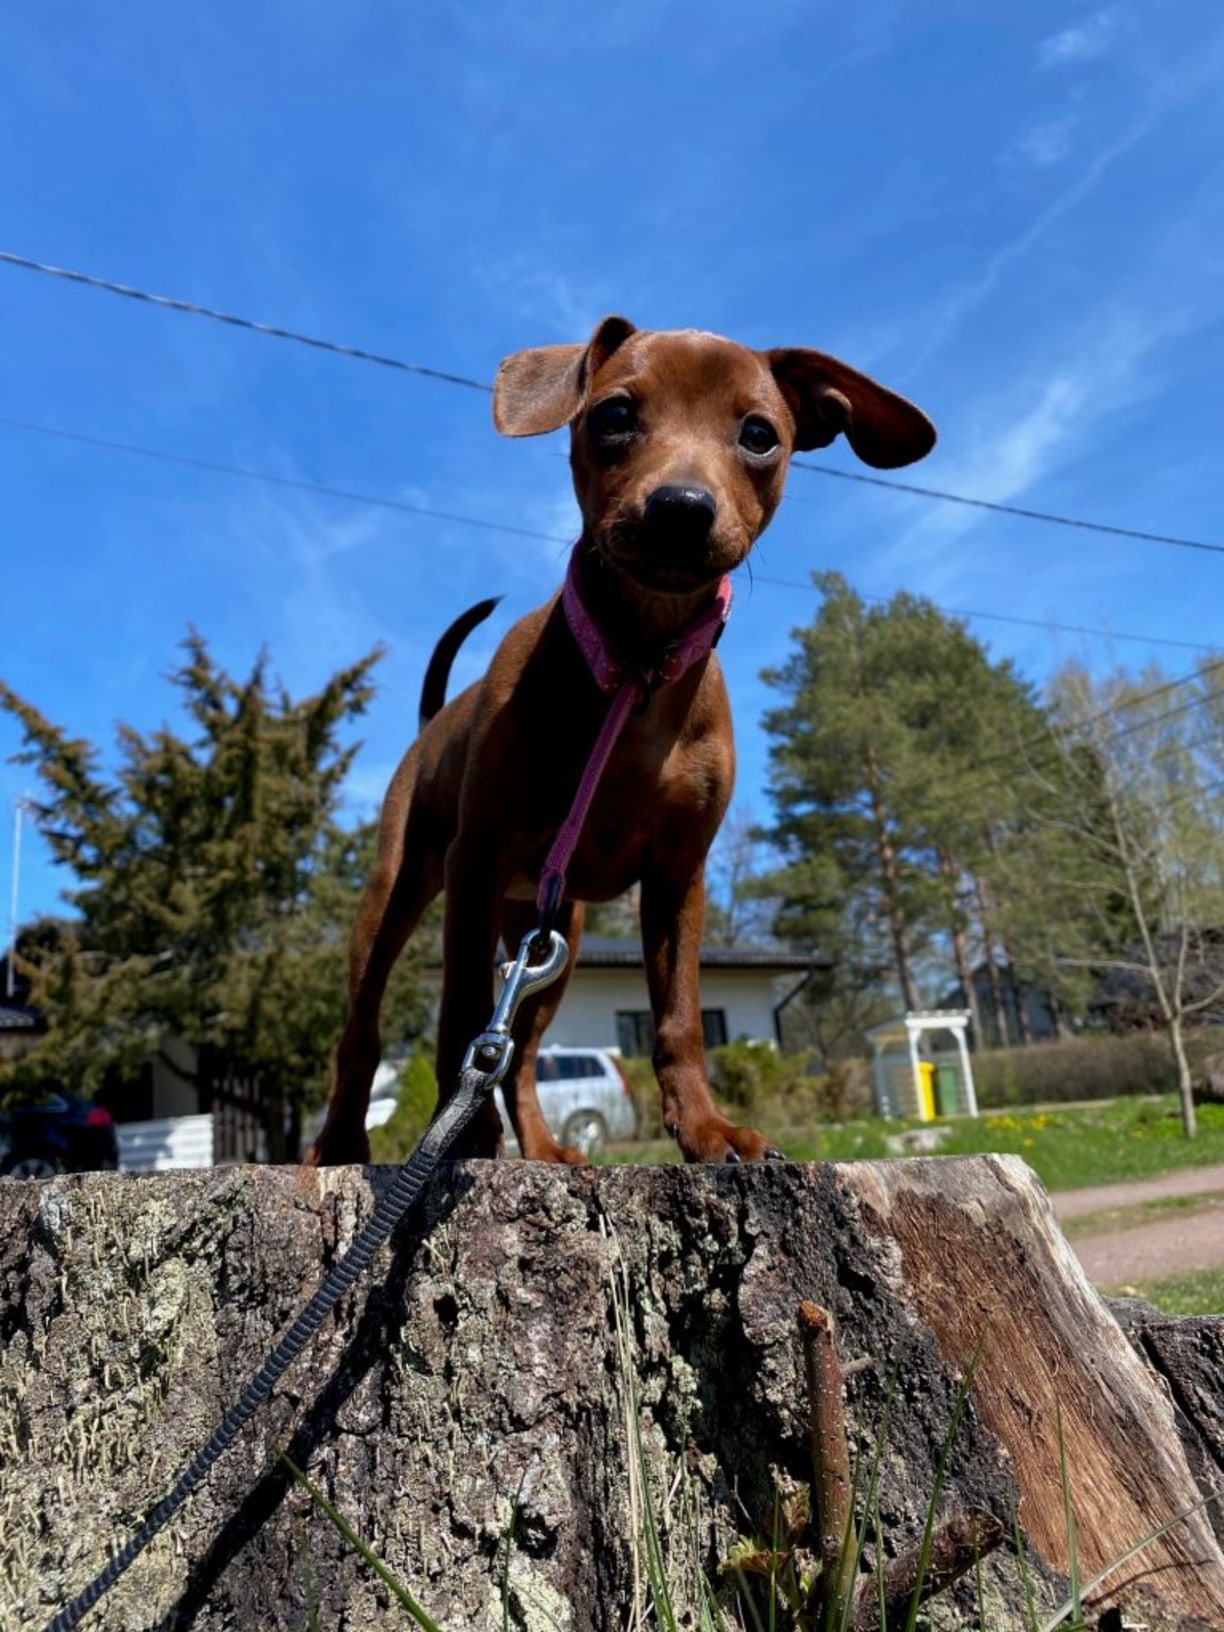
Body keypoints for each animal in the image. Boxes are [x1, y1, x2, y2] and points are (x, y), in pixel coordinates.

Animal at [308, 314, 940, 1161]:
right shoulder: (475, 862)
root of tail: (432, 725)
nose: (681, 507)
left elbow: (677, 1019)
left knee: (522, 1054)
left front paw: (705, 1128)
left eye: (759, 435)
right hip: (400, 897)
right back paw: (344, 1141)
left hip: (551, 940)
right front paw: (463, 1148)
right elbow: (461, 1016)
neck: (636, 665)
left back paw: (542, 1150)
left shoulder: (678, 877)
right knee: (370, 1029)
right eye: (613, 415)